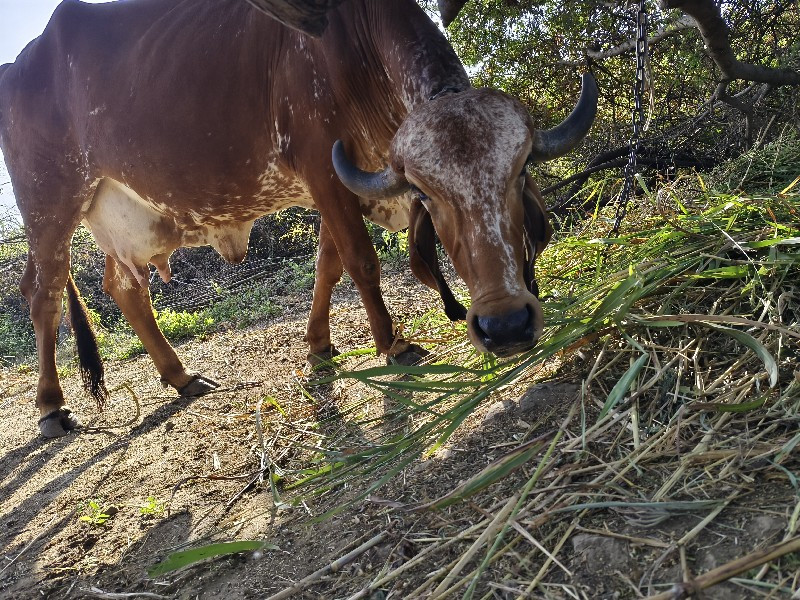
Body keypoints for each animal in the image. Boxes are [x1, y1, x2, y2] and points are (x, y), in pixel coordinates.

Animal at [0, 0, 592, 436]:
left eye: (519, 172)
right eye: (429, 193)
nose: (506, 324)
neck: (355, 47)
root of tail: (19, 64)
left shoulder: (340, 179)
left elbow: (328, 262)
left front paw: (319, 345)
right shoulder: (324, 168)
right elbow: (361, 260)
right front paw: (392, 344)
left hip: (123, 215)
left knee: (123, 287)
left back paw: (180, 374)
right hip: (51, 203)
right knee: (43, 292)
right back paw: (51, 406)